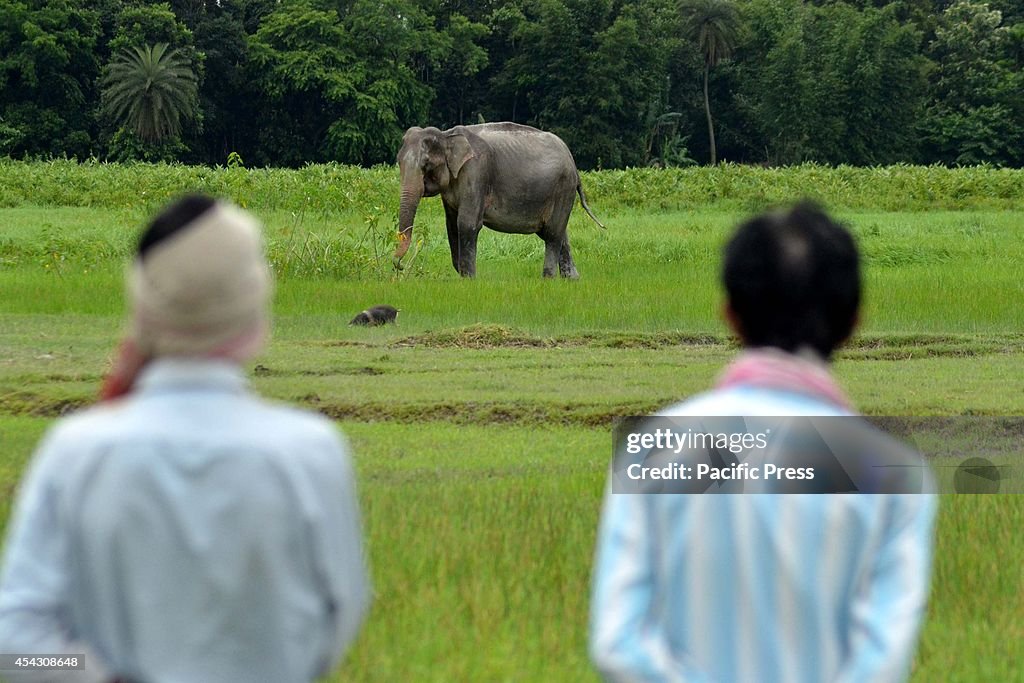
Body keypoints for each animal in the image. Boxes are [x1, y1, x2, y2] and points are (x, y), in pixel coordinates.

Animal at [389, 122, 598, 278]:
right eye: (398, 161)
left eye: (426, 164)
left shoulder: (476, 172)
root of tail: (573, 162)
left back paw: (548, 278)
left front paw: (470, 280)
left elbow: (466, 224)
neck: (446, 135)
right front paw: (463, 275)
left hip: (563, 188)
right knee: (557, 231)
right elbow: (451, 225)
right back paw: (572, 280)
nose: (399, 266)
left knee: (553, 234)